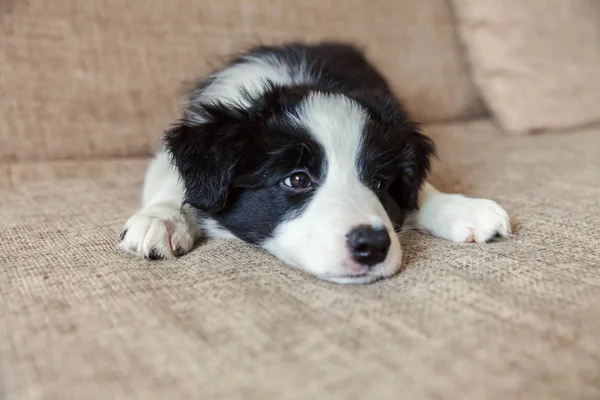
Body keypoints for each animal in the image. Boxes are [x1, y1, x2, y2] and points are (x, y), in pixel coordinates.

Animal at [118, 42, 510, 282]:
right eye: (297, 179)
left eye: (379, 182)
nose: (373, 246)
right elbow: (173, 181)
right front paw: (163, 220)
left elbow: (418, 191)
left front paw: (461, 209)